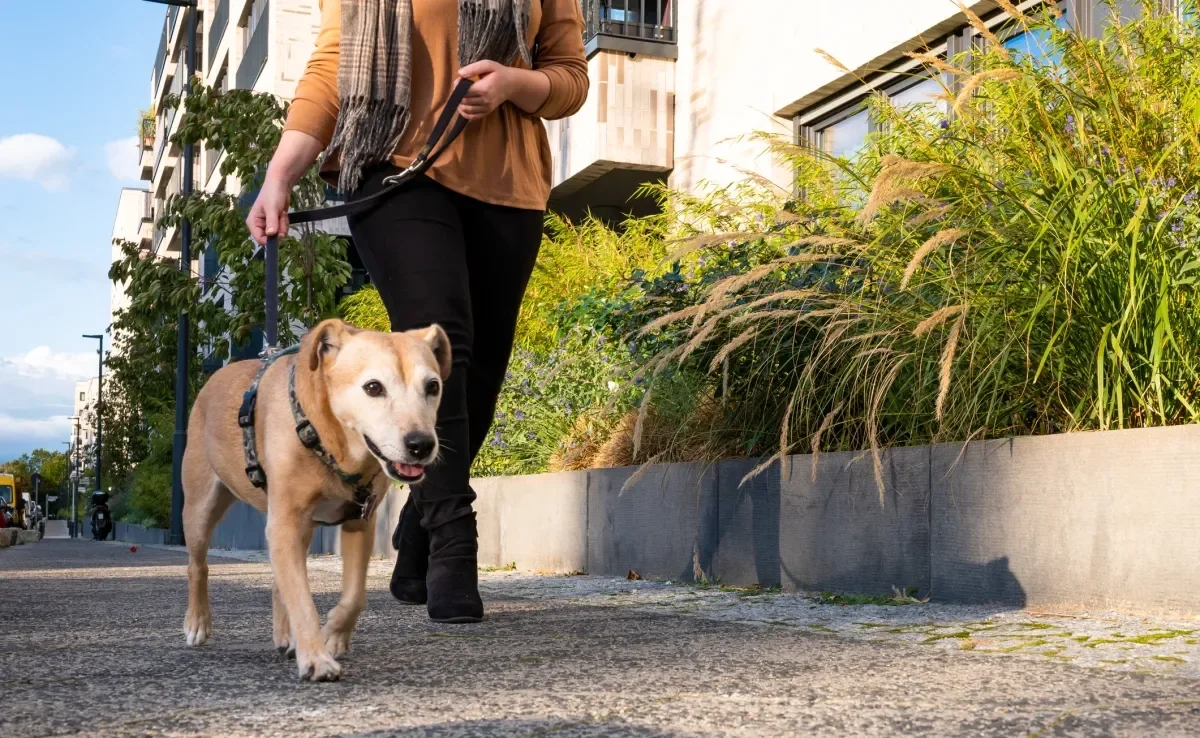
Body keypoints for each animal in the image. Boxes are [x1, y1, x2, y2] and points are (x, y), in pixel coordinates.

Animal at [180, 316, 451, 681]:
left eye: (432, 387)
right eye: (373, 387)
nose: (421, 444)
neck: (326, 438)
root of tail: (216, 375)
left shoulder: (360, 522)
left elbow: (354, 596)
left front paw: (332, 635)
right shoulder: (284, 524)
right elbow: (302, 599)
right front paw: (316, 658)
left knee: (279, 582)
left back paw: (287, 636)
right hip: (201, 507)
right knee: (198, 566)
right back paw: (197, 623)